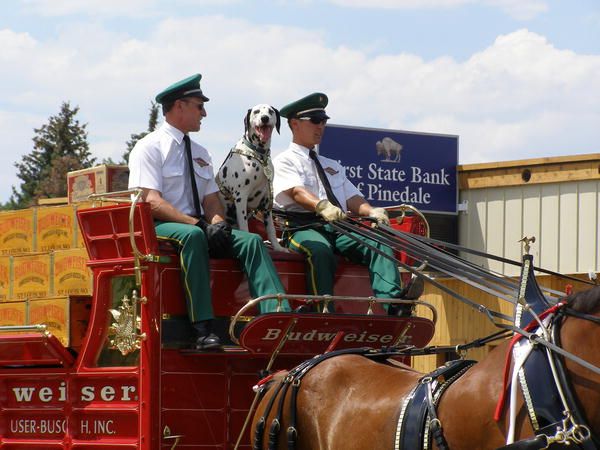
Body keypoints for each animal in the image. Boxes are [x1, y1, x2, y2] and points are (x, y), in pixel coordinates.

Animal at [218, 104, 288, 253]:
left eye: (270, 111)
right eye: (256, 112)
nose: (264, 118)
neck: (259, 155)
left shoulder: (267, 201)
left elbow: (271, 230)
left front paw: (278, 248)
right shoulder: (241, 197)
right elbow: (245, 226)